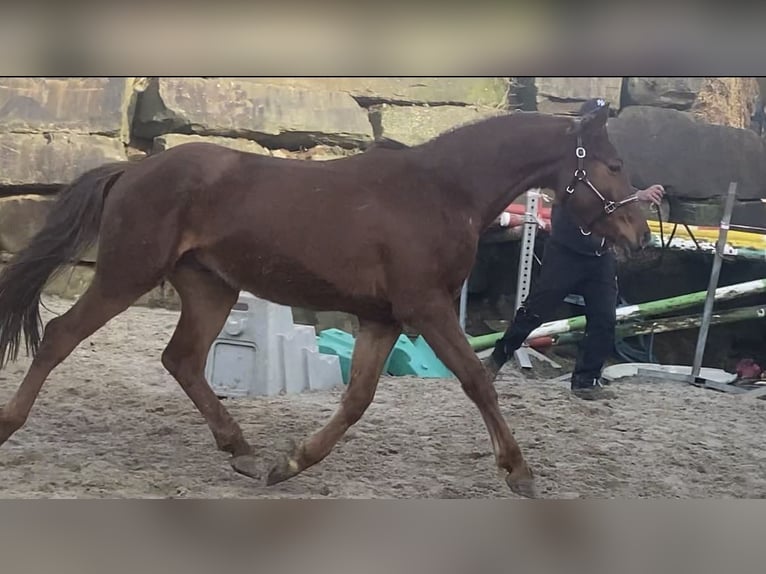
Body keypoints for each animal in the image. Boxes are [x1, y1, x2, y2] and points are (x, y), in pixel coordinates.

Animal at [0, 103, 648, 500]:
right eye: (615, 164)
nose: (639, 235)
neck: (441, 192)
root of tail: (133, 171)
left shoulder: (382, 320)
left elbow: (357, 400)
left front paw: (289, 463)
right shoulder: (427, 308)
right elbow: (477, 382)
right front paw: (520, 472)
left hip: (211, 287)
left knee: (181, 359)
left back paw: (242, 450)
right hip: (127, 275)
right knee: (61, 336)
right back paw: (9, 426)